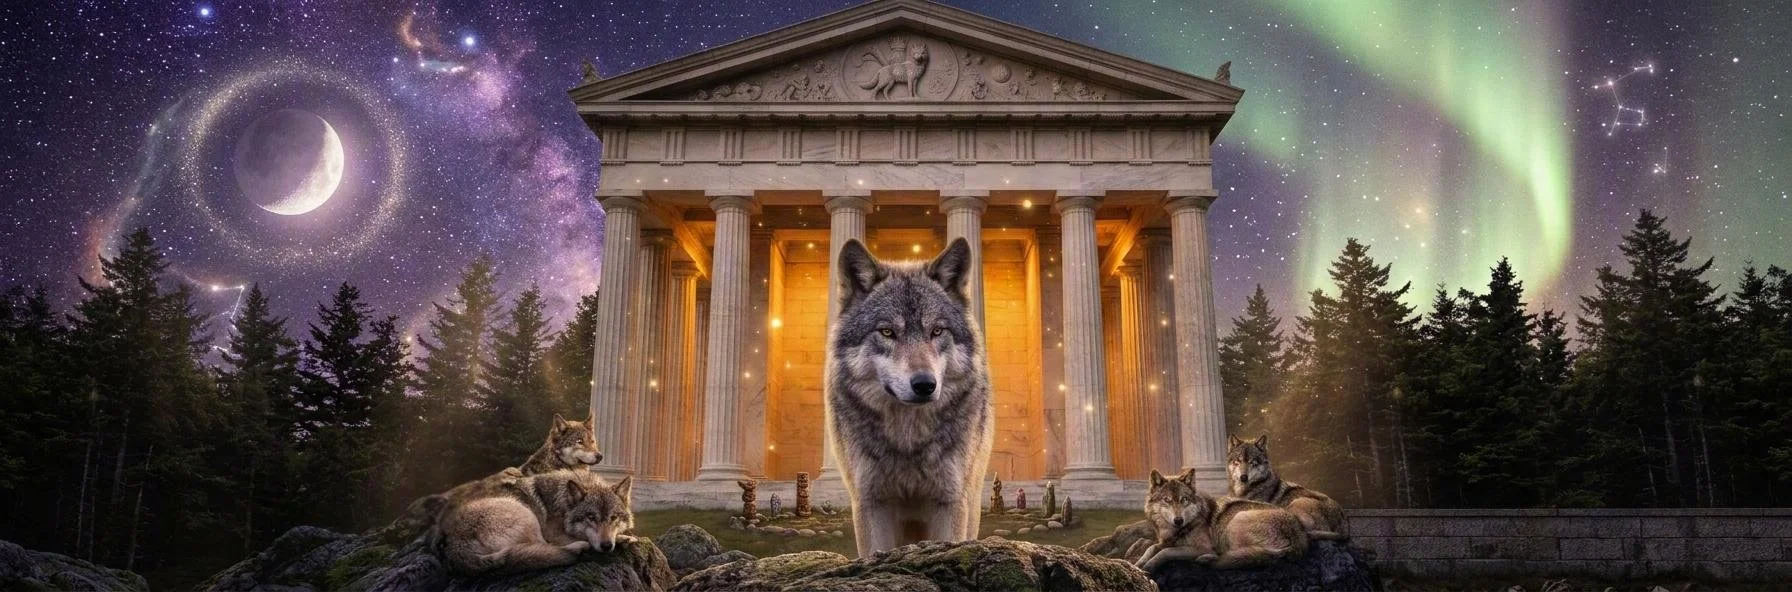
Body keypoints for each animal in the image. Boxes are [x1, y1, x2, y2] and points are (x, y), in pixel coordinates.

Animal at [437, 470, 634, 576]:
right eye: (591, 517)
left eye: (614, 518)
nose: (607, 545)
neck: (564, 504)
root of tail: (453, 544)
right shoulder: (553, 533)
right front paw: (623, 539)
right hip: (527, 515)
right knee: (545, 548)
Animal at [826, 238, 993, 557]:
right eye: (887, 332)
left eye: (937, 331)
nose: (925, 384)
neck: (908, 438)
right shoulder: (871, 502)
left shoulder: (950, 501)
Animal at [1137, 468, 1309, 571]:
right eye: (1167, 500)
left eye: (1184, 499)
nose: (1178, 520)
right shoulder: (1165, 541)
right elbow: (1151, 548)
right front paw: (1139, 562)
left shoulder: (1202, 547)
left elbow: (1166, 551)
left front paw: (1149, 565)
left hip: (1236, 522)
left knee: (1233, 556)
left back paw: (1207, 558)